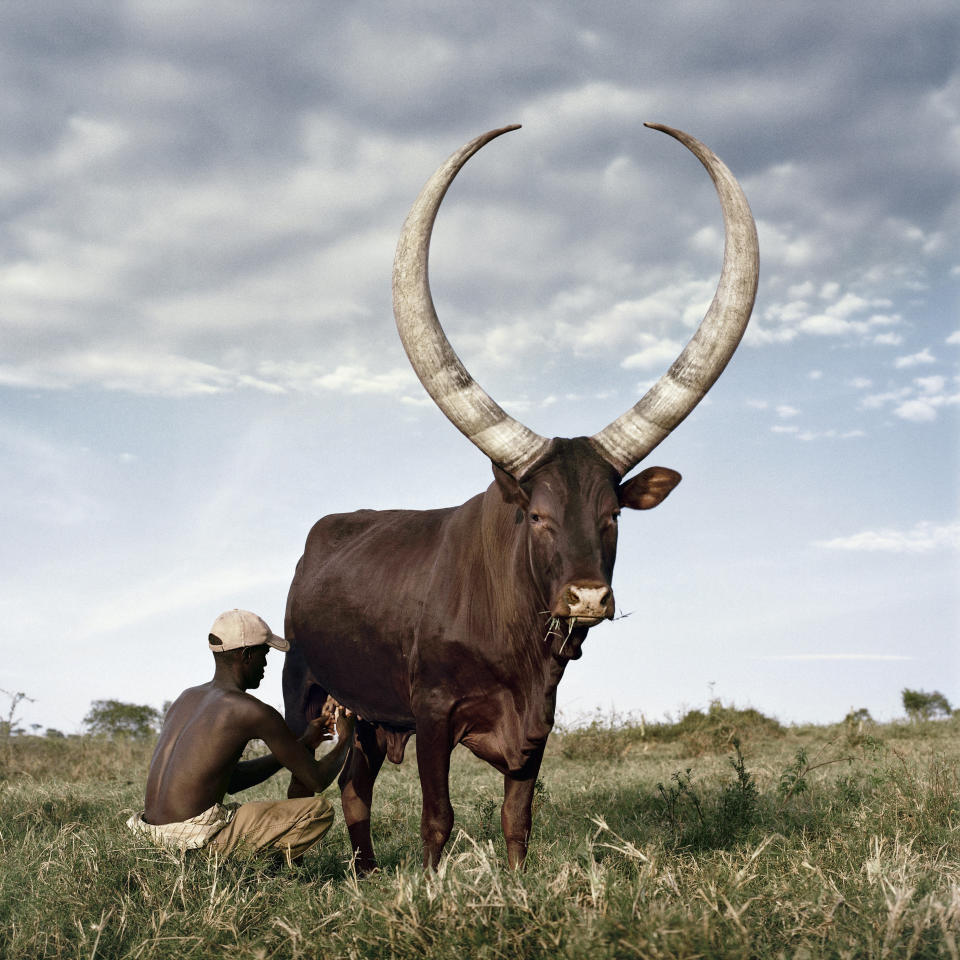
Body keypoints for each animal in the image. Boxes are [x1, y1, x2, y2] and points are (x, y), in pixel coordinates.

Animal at [282, 122, 760, 872]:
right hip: (306, 695)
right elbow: (438, 817)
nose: (587, 598)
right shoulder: (431, 713)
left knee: (356, 787)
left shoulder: (537, 723)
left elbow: (517, 817)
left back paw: (363, 874)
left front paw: (514, 881)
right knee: (313, 786)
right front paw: (431, 883)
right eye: (536, 515)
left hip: (367, 717)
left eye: (612, 515)